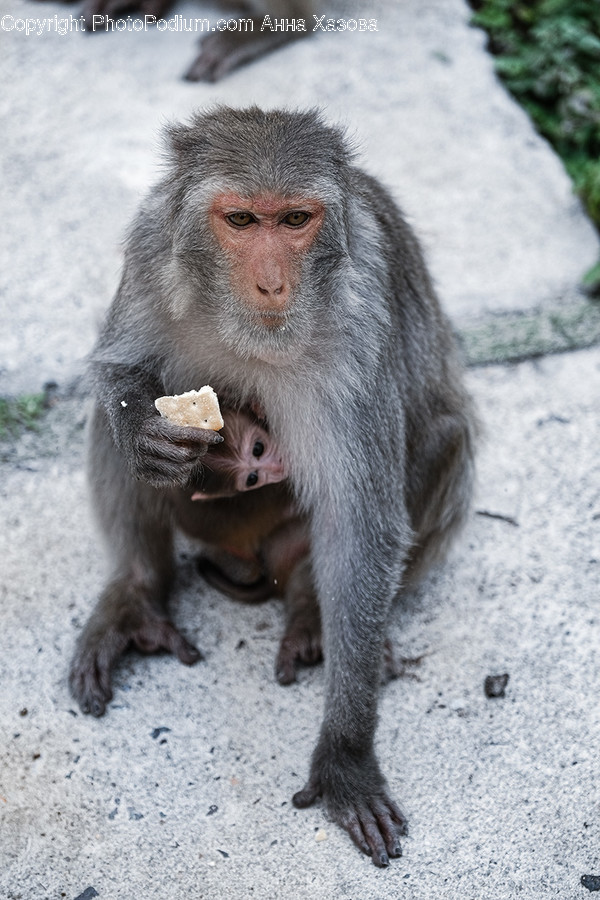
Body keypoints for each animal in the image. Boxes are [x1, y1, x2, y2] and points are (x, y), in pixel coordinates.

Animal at [70, 107, 477, 866]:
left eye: (294, 220)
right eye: (240, 219)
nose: (271, 284)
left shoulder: (357, 333)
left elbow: (362, 524)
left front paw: (346, 752)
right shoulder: (149, 252)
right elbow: (117, 371)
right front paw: (142, 432)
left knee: (444, 437)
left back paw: (314, 616)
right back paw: (138, 591)